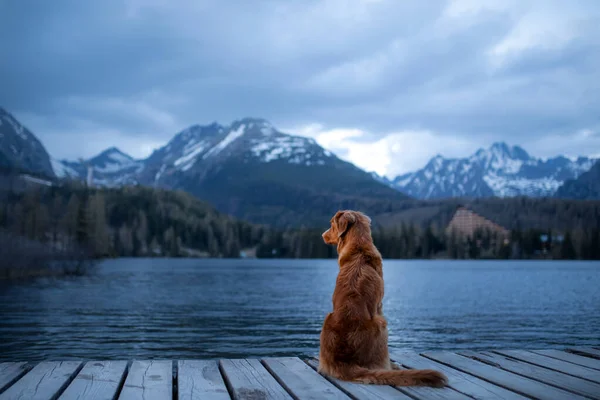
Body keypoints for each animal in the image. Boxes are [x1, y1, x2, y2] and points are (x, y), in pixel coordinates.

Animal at [316, 211, 448, 386]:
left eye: (331, 224)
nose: (322, 235)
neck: (359, 248)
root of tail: (345, 362)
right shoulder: (379, 306)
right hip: (381, 323)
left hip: (327, 318)